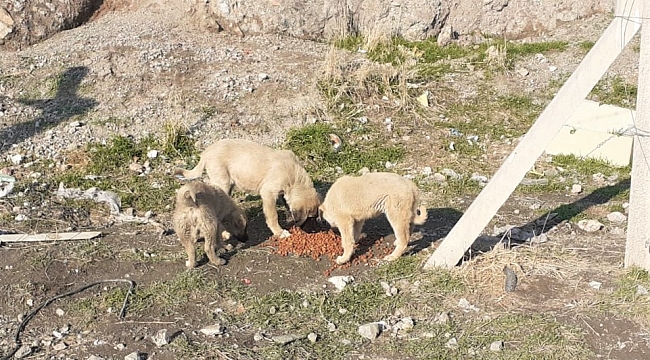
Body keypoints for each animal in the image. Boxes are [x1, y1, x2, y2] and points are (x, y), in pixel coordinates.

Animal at [173, 139, 320, 238]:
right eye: (310, 218)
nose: (315, 231)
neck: (294, 176)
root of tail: (206, 152)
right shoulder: (268, 193)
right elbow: (273, 215)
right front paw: (279, 232)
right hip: (223, 182)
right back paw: (224, 232)